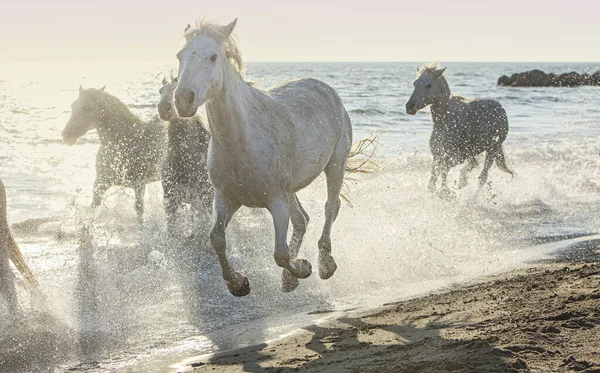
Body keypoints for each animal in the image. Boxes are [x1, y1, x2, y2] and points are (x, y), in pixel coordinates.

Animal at [61, 85, 166, 217]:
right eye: (73, 106)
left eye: (87, 108)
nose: (66, 135)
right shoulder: (100, 183)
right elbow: (93, 208)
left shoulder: (139, 185)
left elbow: (139, 211)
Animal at [172, 18, 352, 294]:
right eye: (180, 55)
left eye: (213, 57)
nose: (183, 100)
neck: (242, 142)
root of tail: (325, 87)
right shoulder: (226, 198)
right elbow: (217, 239)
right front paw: (238, 284)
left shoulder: (276, 201)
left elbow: (281, 254)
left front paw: (303, 268)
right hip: (292, 189)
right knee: (302, 219)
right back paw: (290, 280)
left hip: (336, 164)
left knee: (330, 207)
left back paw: (324, 264)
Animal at [406, 62, 512, 195]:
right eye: (414, 83)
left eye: (428, 85)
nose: (409, 107)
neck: (445, 122)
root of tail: (499, 106)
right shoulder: (438, 155)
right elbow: (434, 178)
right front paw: (444, 191)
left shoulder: (458, 157)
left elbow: (443, 170)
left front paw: (446, 192)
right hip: (474, 151)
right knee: (473, 163)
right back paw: (462, 181)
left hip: (493, 148)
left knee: (482, 177)